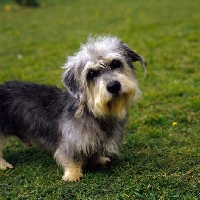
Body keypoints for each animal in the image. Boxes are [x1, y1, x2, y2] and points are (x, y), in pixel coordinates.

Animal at [0, 35, 147, 181]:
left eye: (116, 63)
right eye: (91, 73)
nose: (113, 86)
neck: (93, 113)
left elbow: (94, 152)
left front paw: (98, 160)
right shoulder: (70, 143)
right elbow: (71, 158)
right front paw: (72, 174)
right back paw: (4, 165)